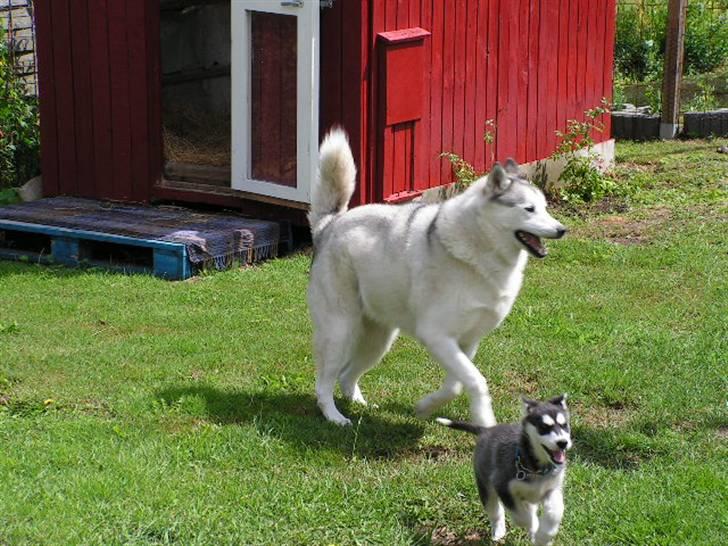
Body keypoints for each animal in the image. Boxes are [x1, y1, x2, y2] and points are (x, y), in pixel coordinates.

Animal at [308, 129, 568, 424]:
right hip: (340, 331)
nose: (562, 230)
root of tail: (330, 224)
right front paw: (484, 418)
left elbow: (456, 385)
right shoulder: (437, 336)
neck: (480, 248)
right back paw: (335, 417)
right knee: (325, 382)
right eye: (529, 209)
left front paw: (427, 406)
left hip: (378, 341)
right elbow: (476, 380)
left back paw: (360, 403)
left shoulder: (466, 342)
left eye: (544, 207)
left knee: (346, 374)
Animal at [436, 396, 572, 544]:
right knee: (495, 511)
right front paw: (535, 529)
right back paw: (499, 531)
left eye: (564, 425)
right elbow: (523, 517)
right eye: (544, 427)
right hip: (486, 487)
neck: (536, 468)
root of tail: (487, 430)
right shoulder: (503, 486)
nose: (563, 443)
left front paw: (544, 537)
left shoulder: (552, 488)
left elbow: (555, 513)